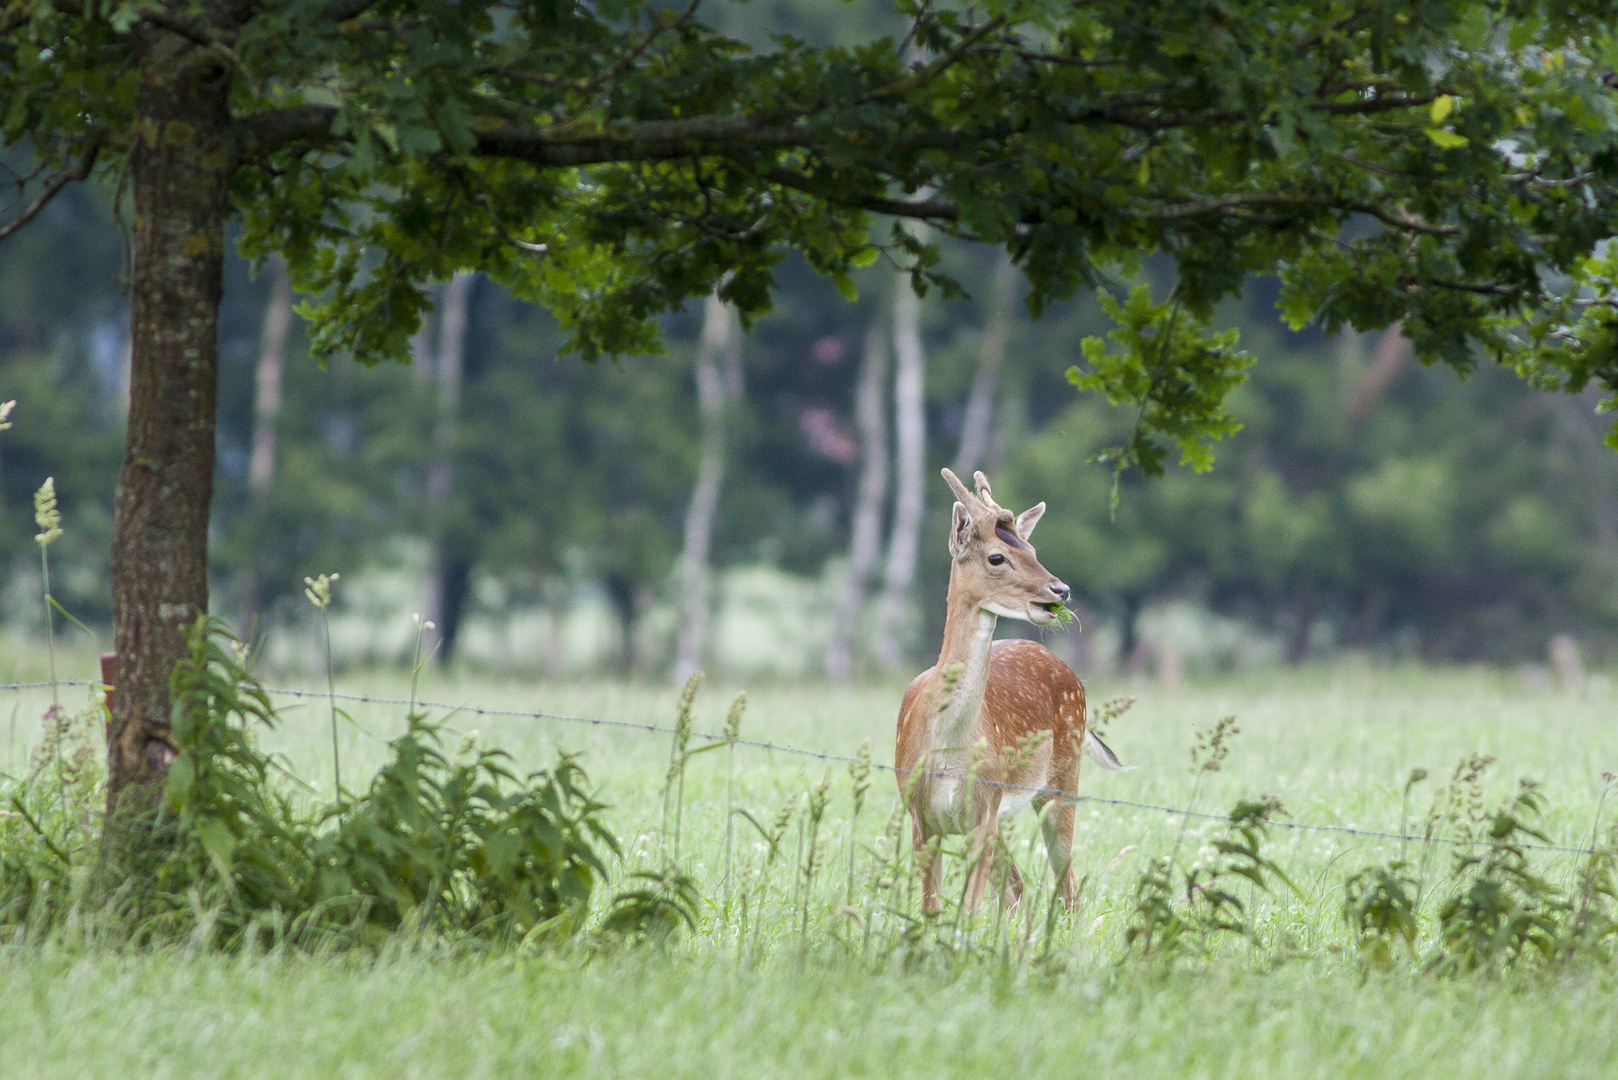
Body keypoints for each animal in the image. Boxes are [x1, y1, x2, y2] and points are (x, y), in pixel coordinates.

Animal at [899, 469, 1126, 919]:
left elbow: (967, 913)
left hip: (1062, 777)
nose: (1061, 590)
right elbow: (932, 911)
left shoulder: (983, 812)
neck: (948, 750)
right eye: (996, 558)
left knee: (1067, 887)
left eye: (1033, 549)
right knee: (1019, 888)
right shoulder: (921, 817)